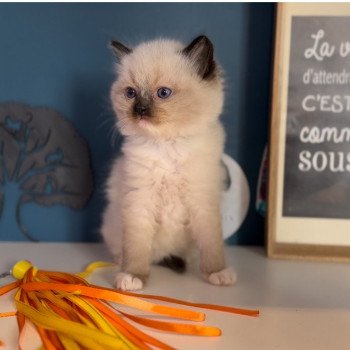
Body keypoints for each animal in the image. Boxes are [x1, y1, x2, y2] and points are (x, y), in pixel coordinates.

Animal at [102, 35, 238, 292]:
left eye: (163, 93)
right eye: (131, 93)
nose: (140, 110)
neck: (168, 144)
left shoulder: (202, 200)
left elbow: (212, 244)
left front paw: (217, 272)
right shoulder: (140, 202)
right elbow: (136, 248)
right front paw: (133, 276)